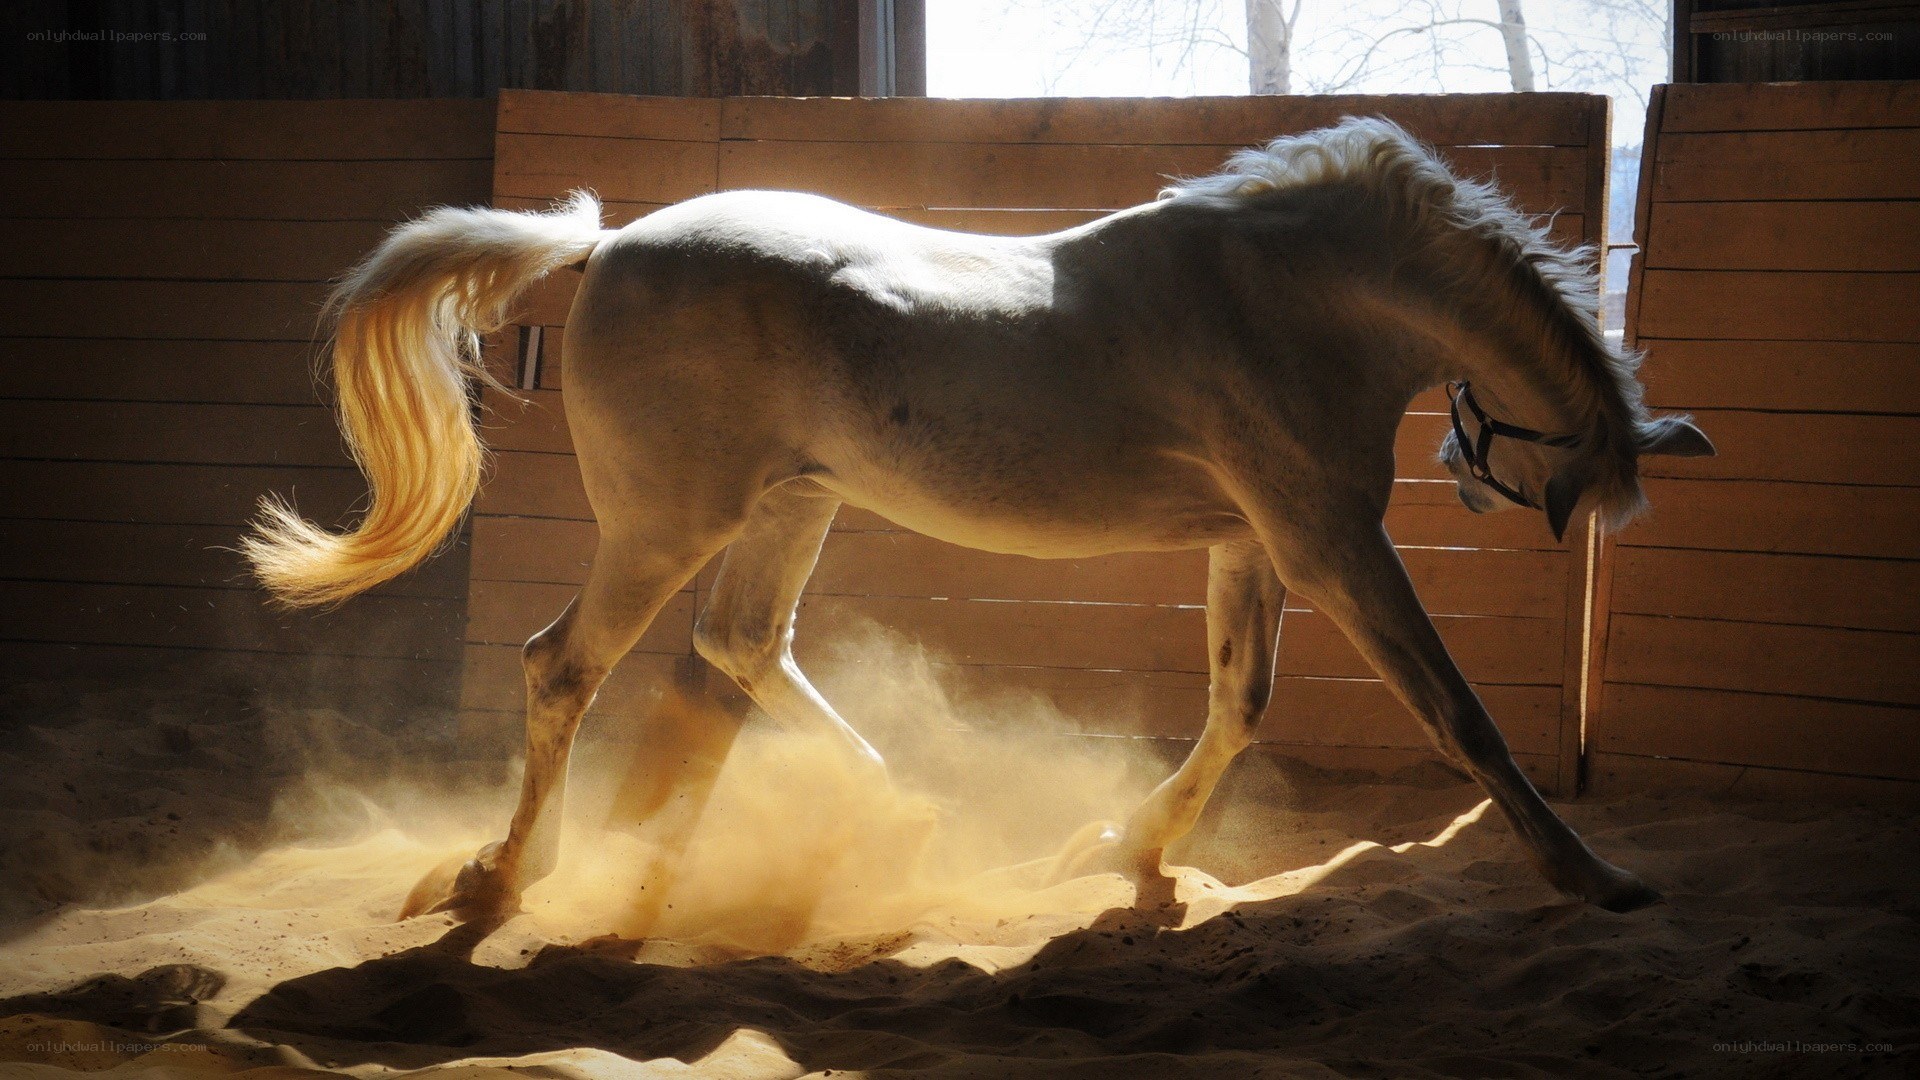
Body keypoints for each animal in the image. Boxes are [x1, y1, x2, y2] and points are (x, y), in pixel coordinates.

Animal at [246, 117, 1713, 924]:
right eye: (1565, 482)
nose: (1481, 479)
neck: (1293, 295)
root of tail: (606, 247)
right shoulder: (1329, 541)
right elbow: (1458, 716)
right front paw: (1596, 877)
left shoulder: (1253, 545)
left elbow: (1238, 705)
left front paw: (1125, 851)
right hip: (666, 524)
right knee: (566, 665)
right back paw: (503, 877)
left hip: (791, 507)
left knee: (742, 646)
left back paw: (900, 813)